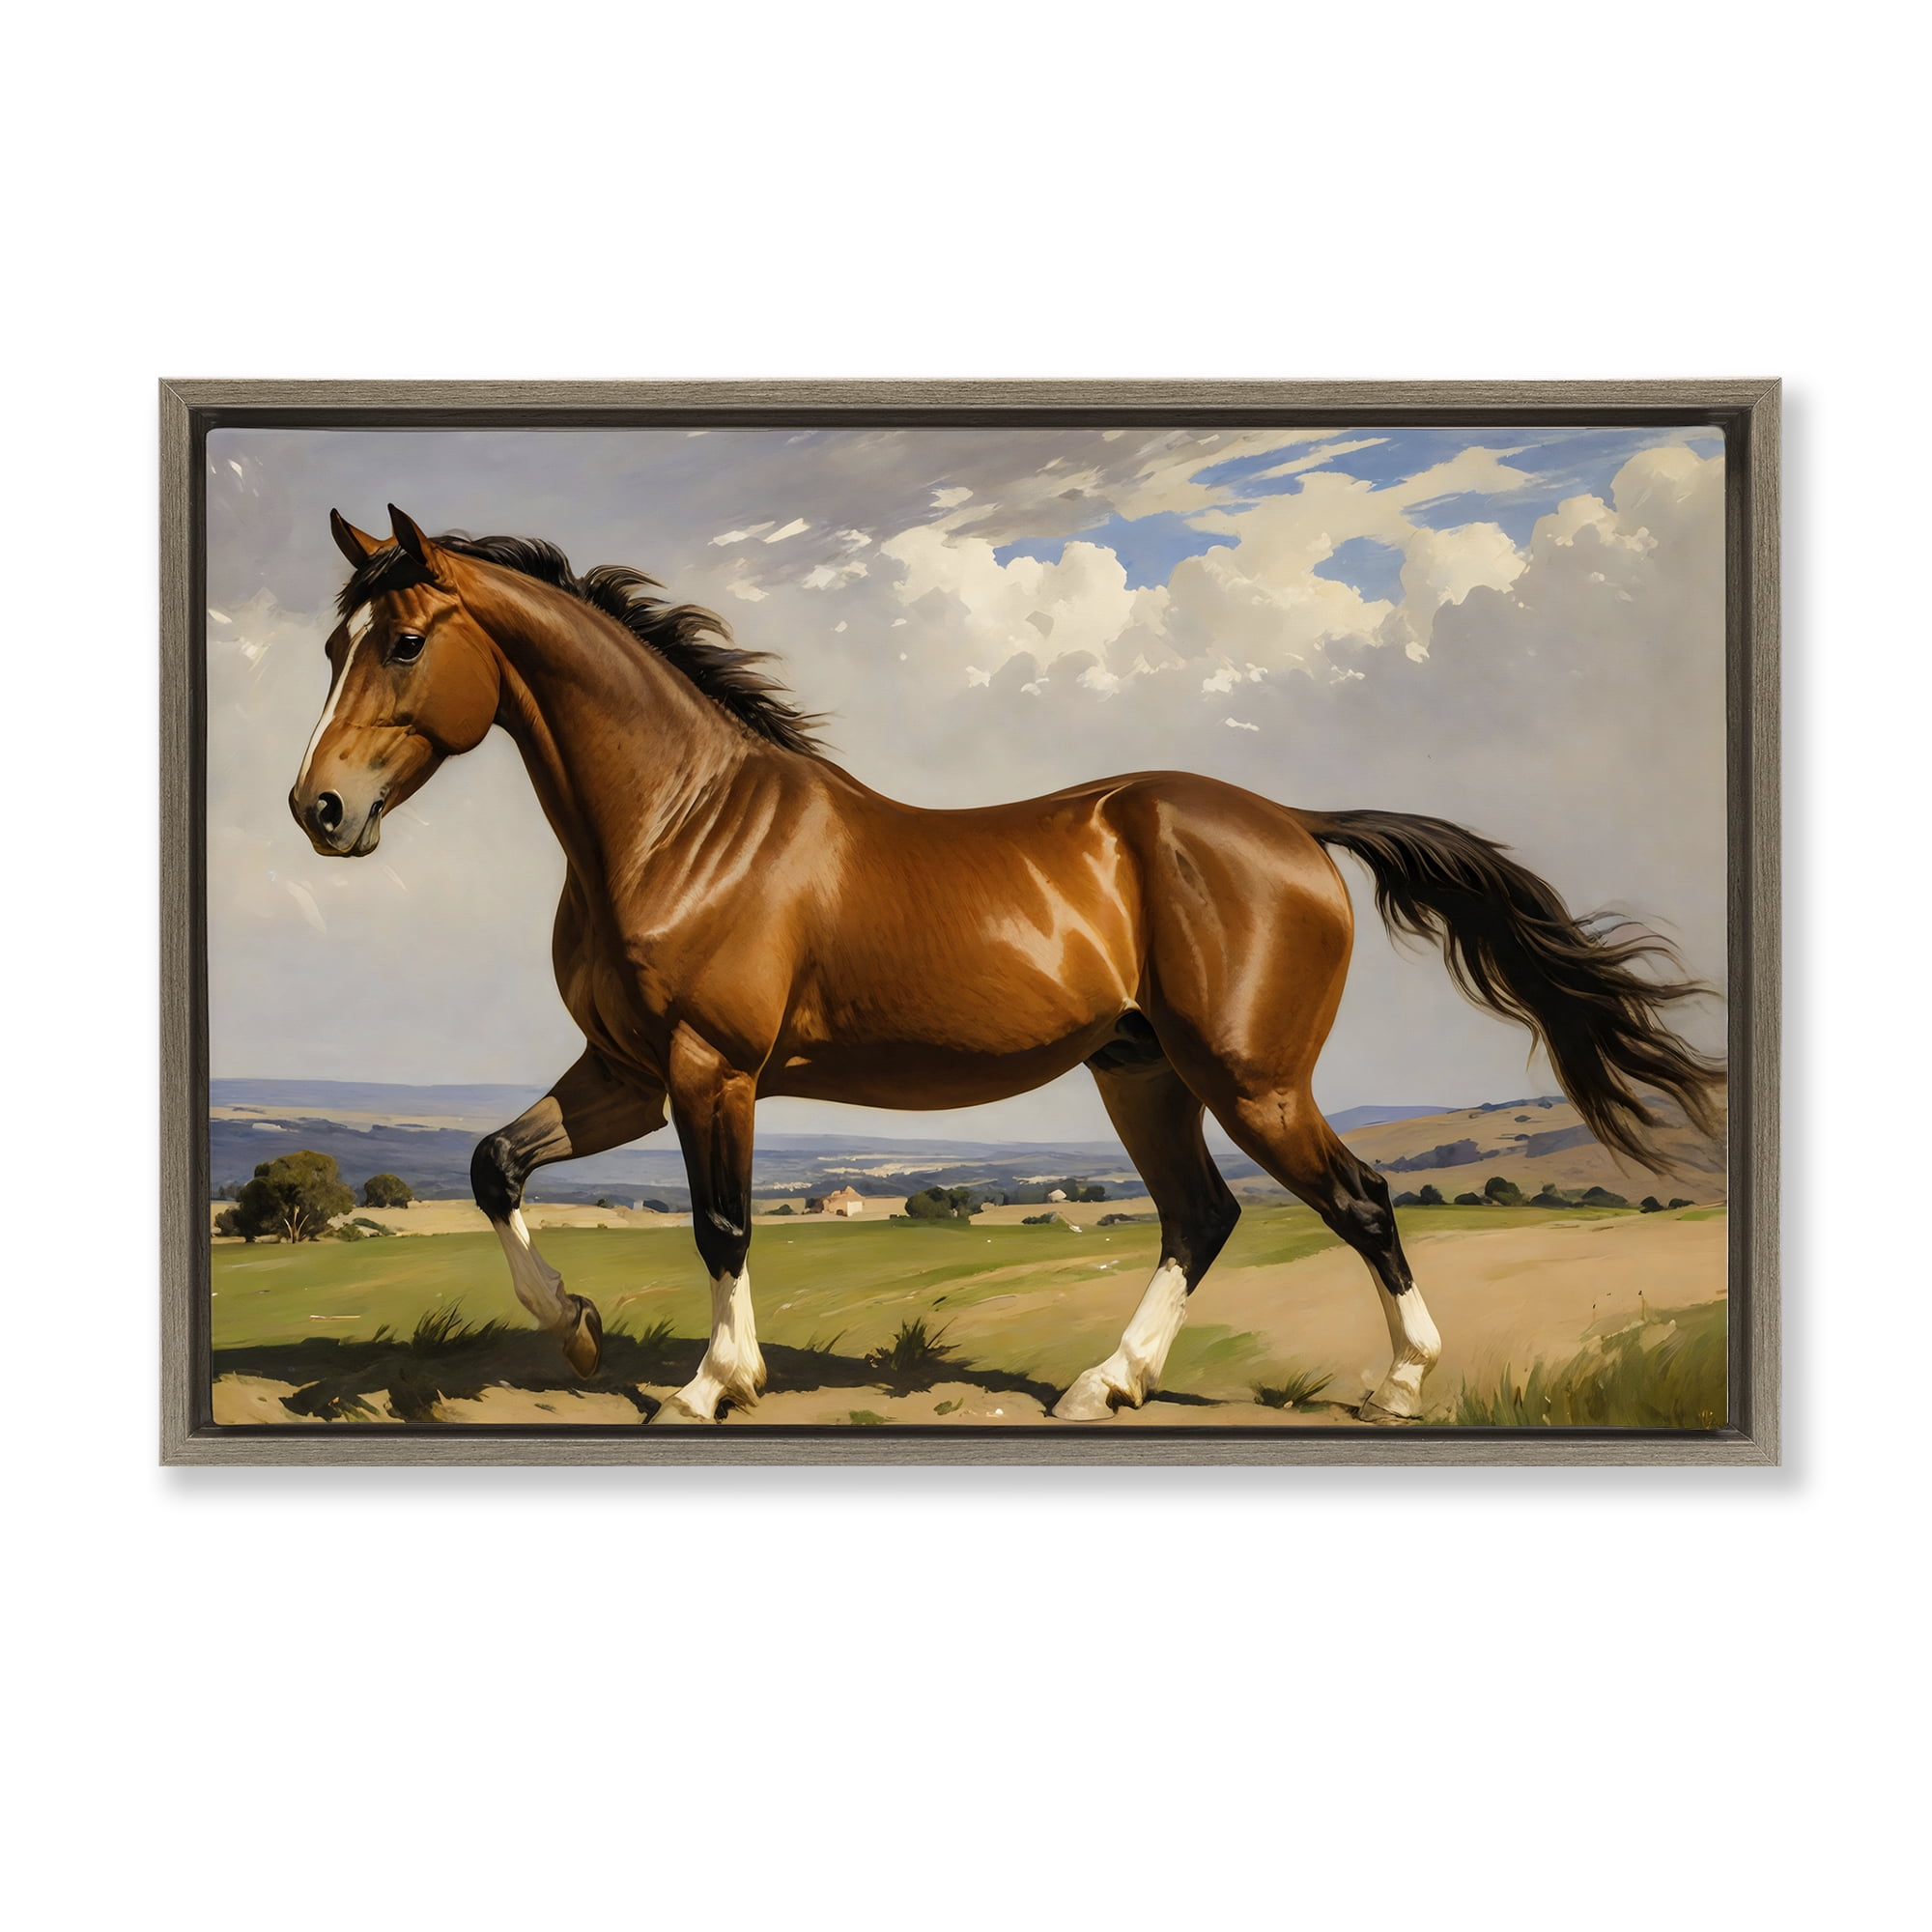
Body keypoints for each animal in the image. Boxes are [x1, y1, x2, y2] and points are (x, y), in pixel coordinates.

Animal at [288, 506, 1721, 1425]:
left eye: (403, 641)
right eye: (332, 647)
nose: (319, 811)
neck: (678, 825)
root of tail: (1294, 826)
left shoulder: (712, 1071)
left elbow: (720, 1223)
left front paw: (709, 1386)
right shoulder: (629, 1069)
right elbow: (492, 1164)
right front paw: (578, 1329)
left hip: (1250, 1079)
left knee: (1361, 1199)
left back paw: (1397, 1387)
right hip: (1142, 1074)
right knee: (1200, 1217)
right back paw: (1105, 1385)